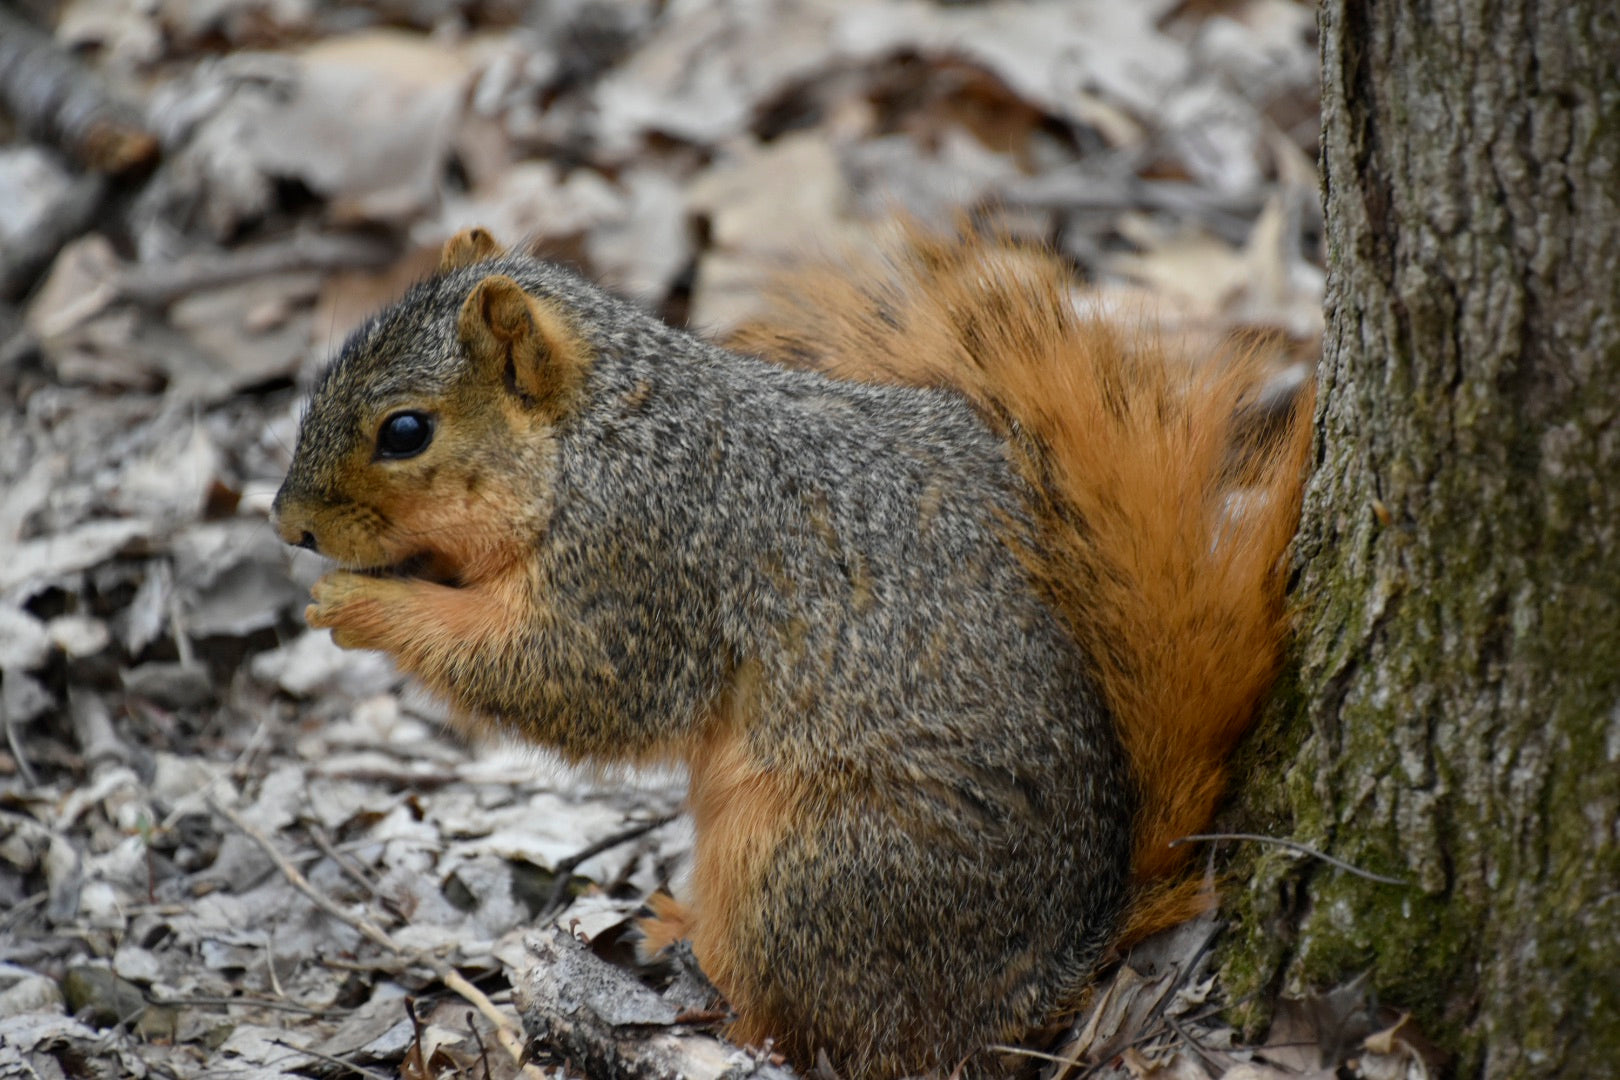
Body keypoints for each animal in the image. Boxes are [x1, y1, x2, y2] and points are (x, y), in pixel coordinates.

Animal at [275, 223, 1315, 1075]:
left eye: (406, 432)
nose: (289, 528)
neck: (601, 434)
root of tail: (1041, 980)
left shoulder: (643, 564)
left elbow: (574, 682)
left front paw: (365, 604)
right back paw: (678, 927)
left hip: (807, 867)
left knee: (837, 1035)